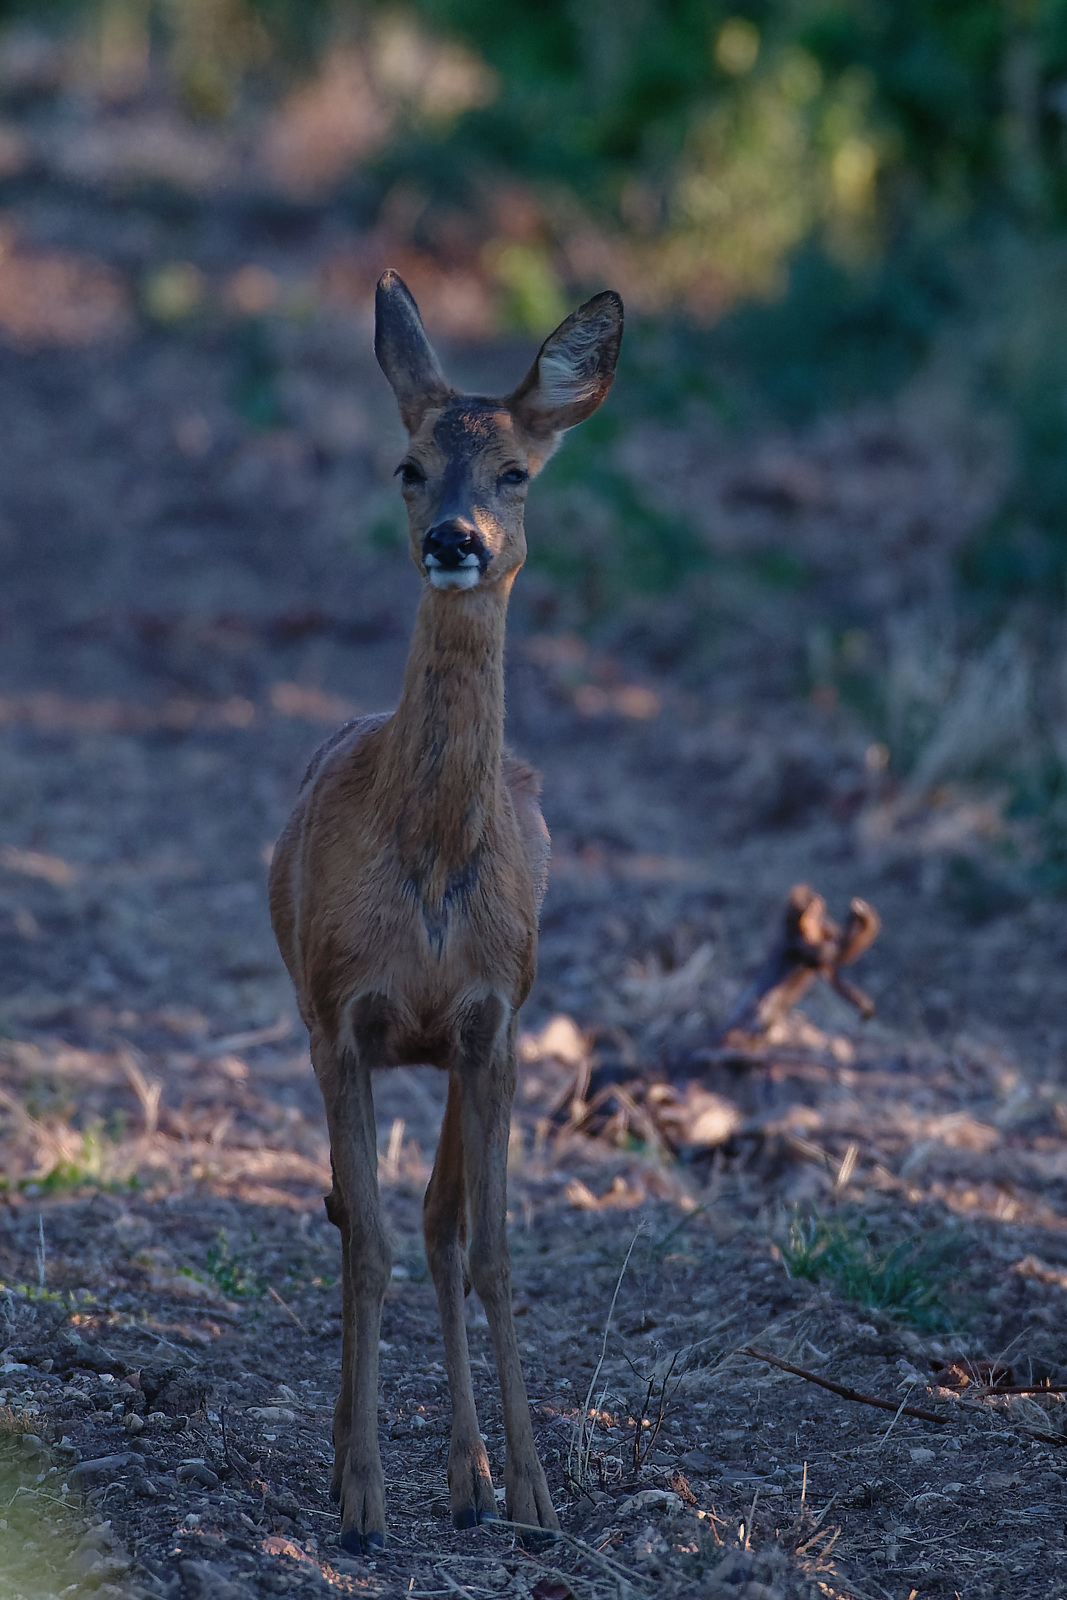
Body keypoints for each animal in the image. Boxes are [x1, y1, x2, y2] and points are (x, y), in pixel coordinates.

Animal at [268, 272, 627, 1548]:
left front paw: (530, 1492)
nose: (452, 541)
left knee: (435, 1220)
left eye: (516, 470)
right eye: (407, 464)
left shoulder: (491, 1019)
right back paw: (356, 1460)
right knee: (357, 1217)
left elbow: (490, 1250)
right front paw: (363, 1497)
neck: (426, 874)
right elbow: (364, 1241)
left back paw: (470, 1479)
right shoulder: (340, 1012)